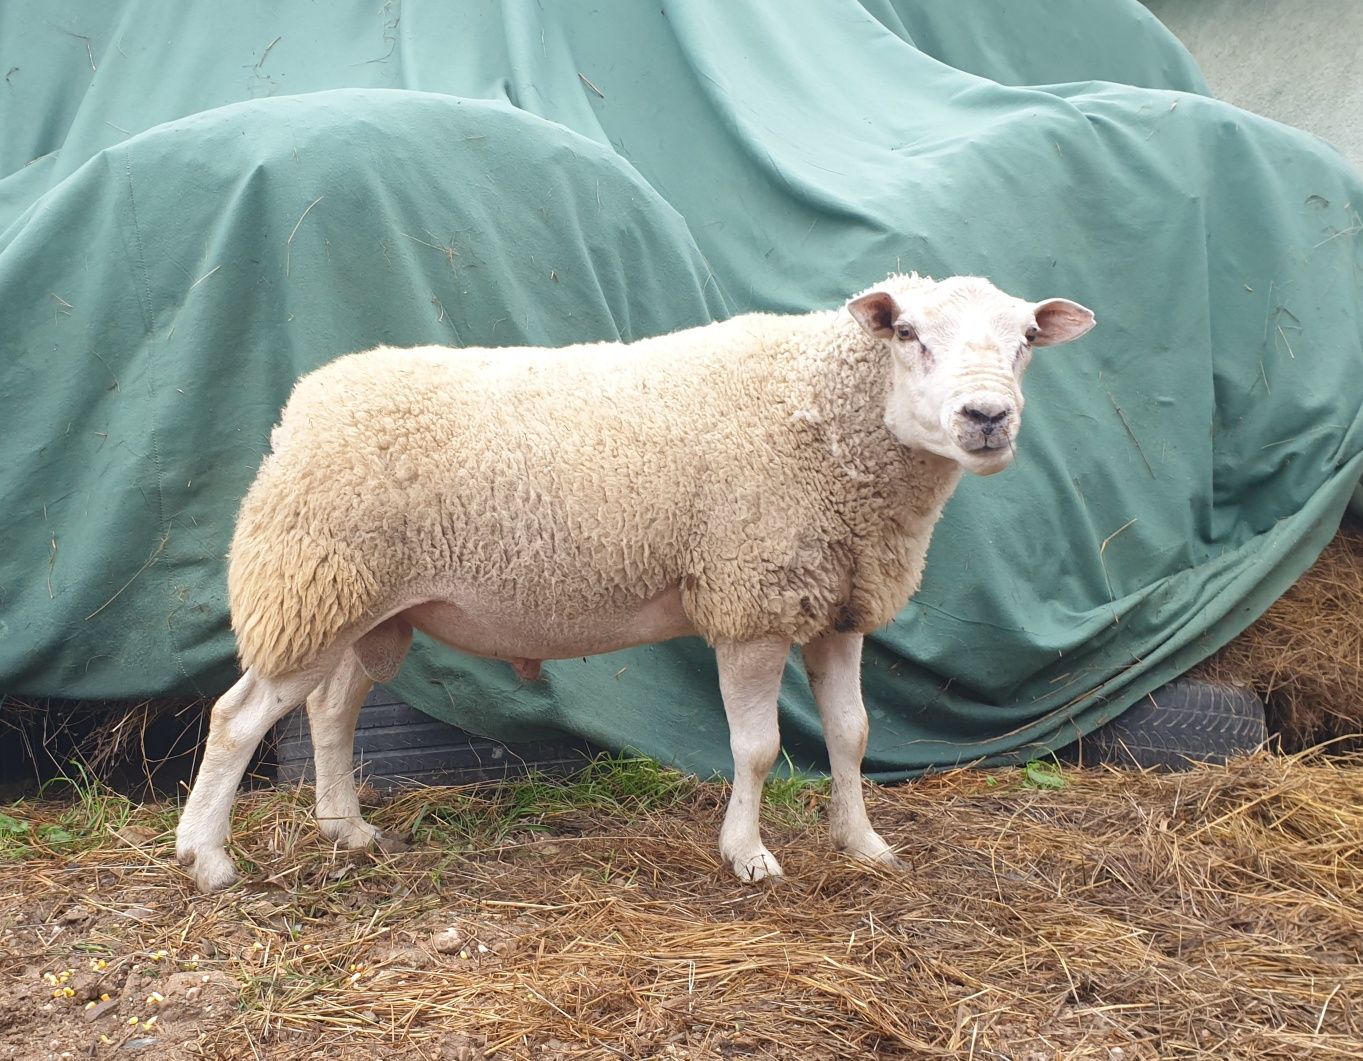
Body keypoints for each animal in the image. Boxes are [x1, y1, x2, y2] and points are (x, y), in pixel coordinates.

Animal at [178, 268, 1095, 889]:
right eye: (907, 335)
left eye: (1024, 341)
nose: (986, 418)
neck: (824, 420)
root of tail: (305, 404)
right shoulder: (750, 598)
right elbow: (758, 747)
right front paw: (749, 855)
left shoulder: (836, 604)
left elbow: (852, 734)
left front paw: (863, 843)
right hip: (307, 585)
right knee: (236, 718)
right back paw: (208, 858)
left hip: (360, 604)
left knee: (330, 711)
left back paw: (347, 830)